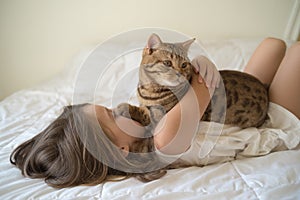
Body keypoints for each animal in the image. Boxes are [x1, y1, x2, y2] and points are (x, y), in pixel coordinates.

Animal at [113, 33, 268, 132]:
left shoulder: (161, 118)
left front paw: (122, 107)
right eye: (167, 63)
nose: (180, 74)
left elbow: (143, 112)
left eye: (184, 65)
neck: (149, 89)